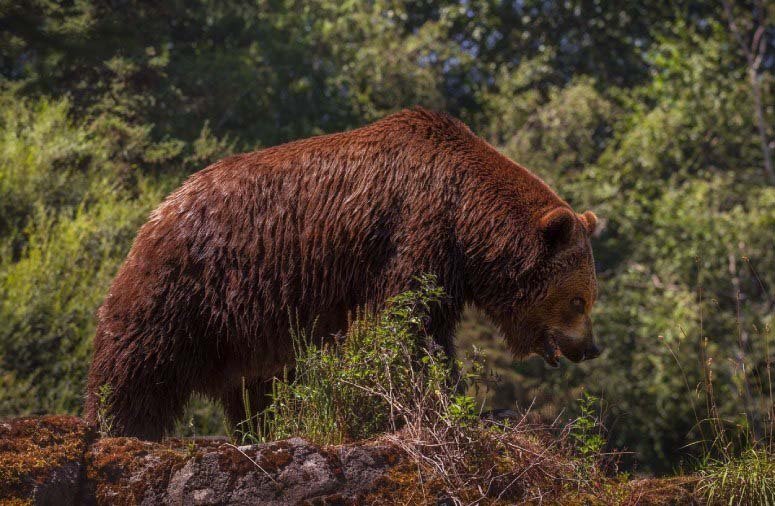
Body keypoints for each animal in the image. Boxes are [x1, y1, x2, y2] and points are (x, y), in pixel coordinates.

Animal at [86, 107, 608, 438]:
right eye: (578, 299)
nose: (590, 347)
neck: (466, 218)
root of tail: (161, 209)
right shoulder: (414, 232)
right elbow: (406, 325)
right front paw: (446, 403)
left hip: (250, 323)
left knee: (261, 387)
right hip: (191, 282)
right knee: (140, 359)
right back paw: (115, 425)